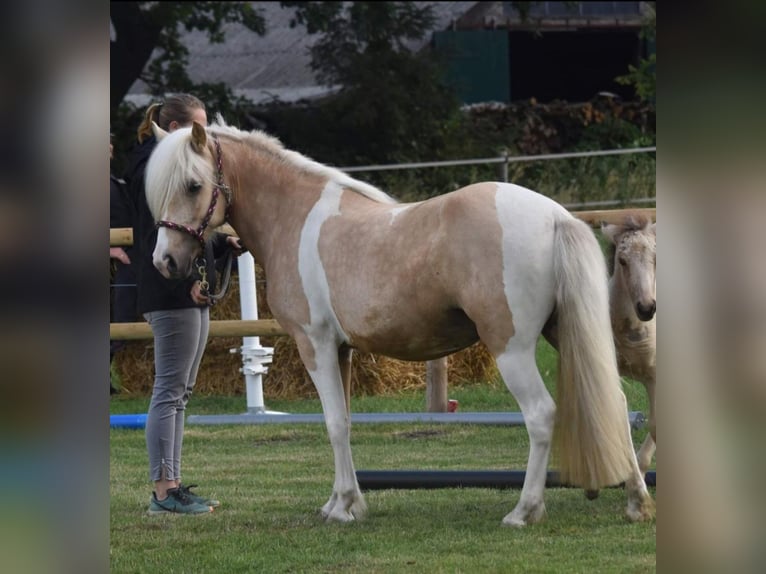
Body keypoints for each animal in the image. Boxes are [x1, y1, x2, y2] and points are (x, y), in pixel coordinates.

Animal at [144, 117, 654, 526]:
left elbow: (334, 424)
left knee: (541, 415)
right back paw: (636, 502)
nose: (165, 262)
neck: (294, 217)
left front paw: (344, 508)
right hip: (562, 335)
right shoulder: (342, 349)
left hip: (512, 349)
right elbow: (345, 421)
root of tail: (553, 217)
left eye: (193, 185)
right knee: (614, 402)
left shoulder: (315, 344)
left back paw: (523, 512)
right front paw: (341, 502)